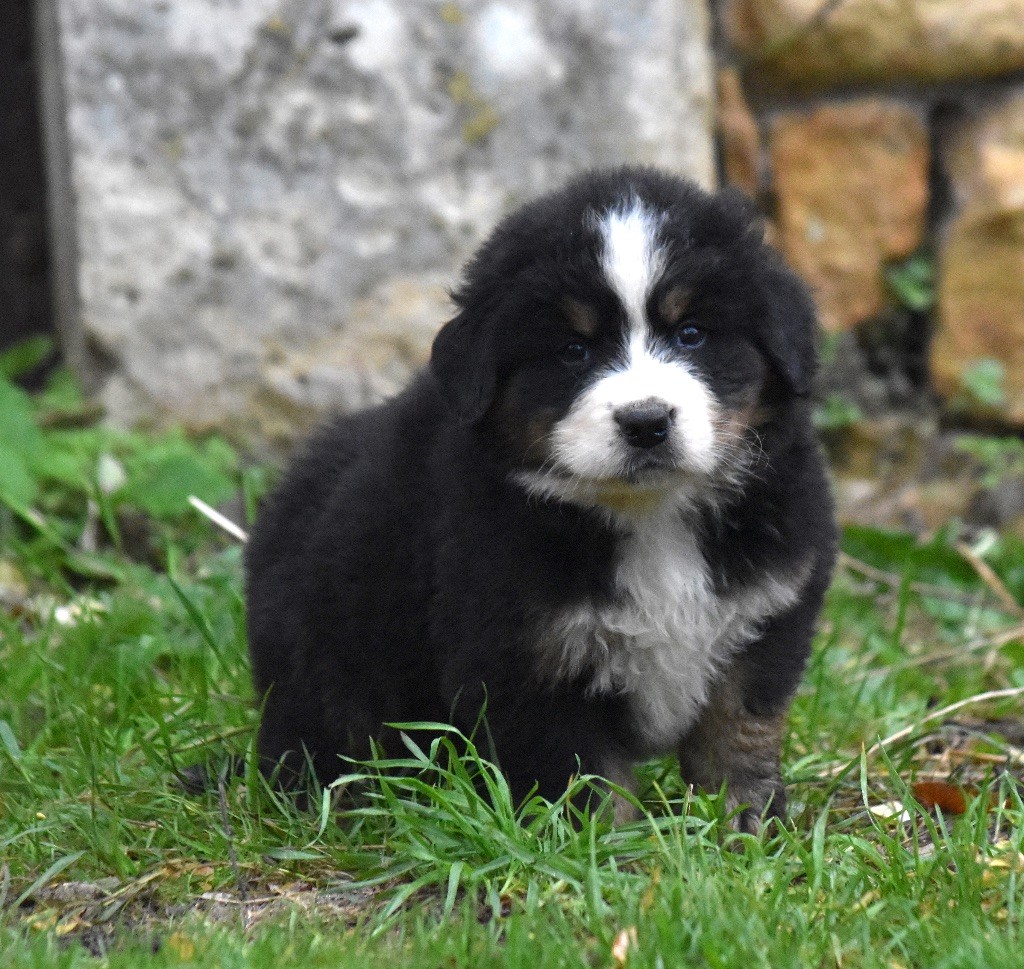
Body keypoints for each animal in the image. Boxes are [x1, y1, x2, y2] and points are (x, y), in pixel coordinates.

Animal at [249, 167, 839, 831]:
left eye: (692, 334)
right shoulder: (529, 659)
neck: (649, 516)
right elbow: (583, 776)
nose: (646, 421)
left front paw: (744, 824)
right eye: (572, 351)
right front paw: (606, 846)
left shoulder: (765, 620)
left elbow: (737, 734)